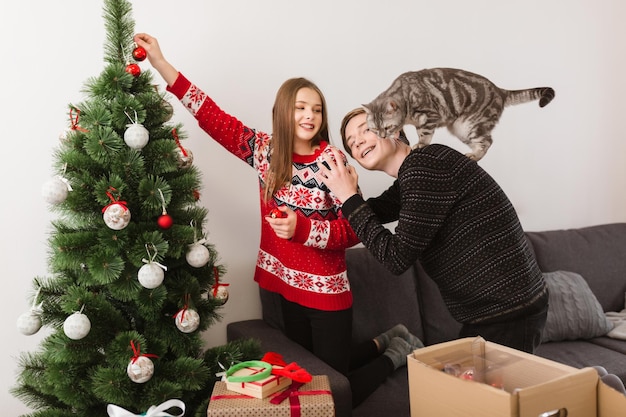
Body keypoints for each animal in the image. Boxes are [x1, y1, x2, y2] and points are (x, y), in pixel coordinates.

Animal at [364, 67, 552, 160]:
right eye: (373, 129)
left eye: (387, 127)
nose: (381, 136)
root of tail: (500, 91)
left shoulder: (429, 115)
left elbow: (424, 135)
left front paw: (420, 144)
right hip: (461, 130)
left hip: (470, 125)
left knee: (488, 141)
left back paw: (475, 157)